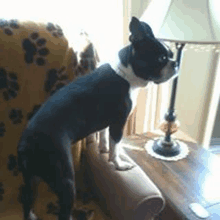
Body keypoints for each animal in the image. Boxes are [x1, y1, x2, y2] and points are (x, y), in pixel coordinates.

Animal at [17, 17, 177, 220]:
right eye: (161, 59)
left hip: (31, 178)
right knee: (62, 210)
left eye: (171, 55)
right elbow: (116, 146)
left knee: (27, 200)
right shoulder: (118, 122)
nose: (175, 63)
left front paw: (102, 149)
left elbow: (103, 136)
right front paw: (118, 164)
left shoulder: (106, 122)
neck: (125, 74)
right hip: (65, 180)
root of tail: (26, 144)